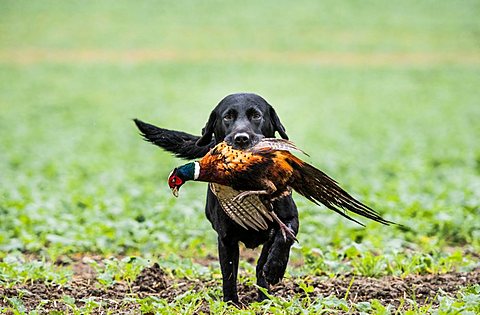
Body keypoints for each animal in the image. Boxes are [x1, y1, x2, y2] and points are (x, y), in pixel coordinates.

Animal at [135, 93, 298, 304]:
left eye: (256, 116)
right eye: (227, 117)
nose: (241, 138)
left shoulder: (289, 218)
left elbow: (282, 240)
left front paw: (273, 272)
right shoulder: (226, 237)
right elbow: (229, 272)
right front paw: (232, 303)